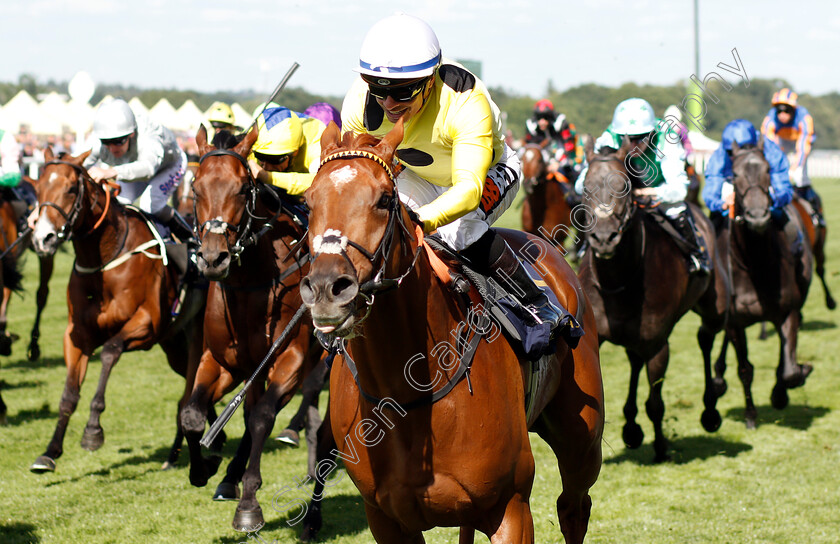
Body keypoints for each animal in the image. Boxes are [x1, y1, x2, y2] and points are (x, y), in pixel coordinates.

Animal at [27, 149, 206, 472]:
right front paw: (50, 452)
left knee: (190, 393)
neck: (106, 257)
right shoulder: (77, 335)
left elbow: (110, 351)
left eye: (70, 188)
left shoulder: (146, 325)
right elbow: (68, 395)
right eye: (37, 189)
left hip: (198, 339)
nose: (43, 238)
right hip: (175, 346)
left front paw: (92, 432)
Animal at [179, 125, 320, 528]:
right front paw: (205, 466)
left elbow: (261, 419)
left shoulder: (290, 359)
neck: (250, 283)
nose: (213, 259)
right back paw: (228, 477)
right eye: (196, 187)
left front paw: (249, 504)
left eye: (243, 188)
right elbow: (192, 415)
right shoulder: (221, 361)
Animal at [298, 120, 600, 544]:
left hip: (582, 441)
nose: (327, 288)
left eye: (385, 200)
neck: (406, 393)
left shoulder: (511, 508)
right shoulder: (385, 519)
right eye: (309, 202)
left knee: (574, 506)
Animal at [576, 138, 728, 462]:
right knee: (636, 359)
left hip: (715, 306)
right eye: (586, 187)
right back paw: (631, 426)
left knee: (707, 337)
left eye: (624, 187)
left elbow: (656, 403)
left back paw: (711, 407)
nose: (604, 238)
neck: (618, 280)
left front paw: (661, 448)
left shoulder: (659, 342)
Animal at [704, 140, 812, 430]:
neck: (754, 263)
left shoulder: (788, 312)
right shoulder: (735, 323)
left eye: (767, 170)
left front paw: (782, 391)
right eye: (735, 175)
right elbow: (745, 369)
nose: (757, 217)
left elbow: (788, 369)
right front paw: (750, 414)